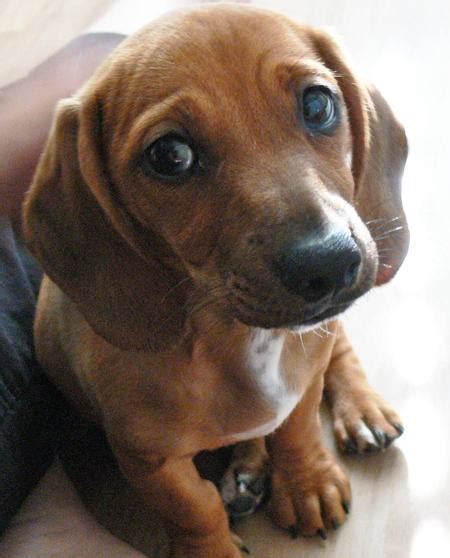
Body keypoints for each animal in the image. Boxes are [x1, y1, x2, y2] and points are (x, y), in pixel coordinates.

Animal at [22, 5, 410, 558]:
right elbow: (194, 508)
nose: (330, 262)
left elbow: (297, 433)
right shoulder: (150, 460)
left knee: (339, 350)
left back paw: (362, 409)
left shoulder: (301, 388)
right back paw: (247, 470)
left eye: (318, 104)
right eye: (170, 156)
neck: (237, 337)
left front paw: (307, 484)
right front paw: (214, 547)